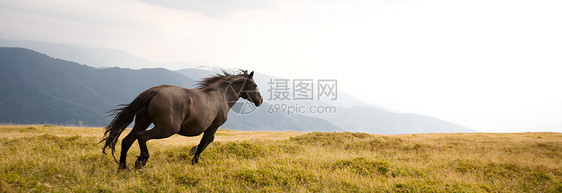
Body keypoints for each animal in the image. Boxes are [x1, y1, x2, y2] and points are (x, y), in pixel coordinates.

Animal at [99, 70, 262, 170]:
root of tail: (153, 92)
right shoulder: (213, 126)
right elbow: (205, 143)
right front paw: (194, 160)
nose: (260, 101)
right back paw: (141, 160)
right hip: (166, 129)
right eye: (255, 85)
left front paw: (192, 151)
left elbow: (208, 141)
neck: (221, 96)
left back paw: (123, 167)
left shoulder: (211, 128)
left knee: (127, 140)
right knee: (142, 137)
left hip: (142, 122)